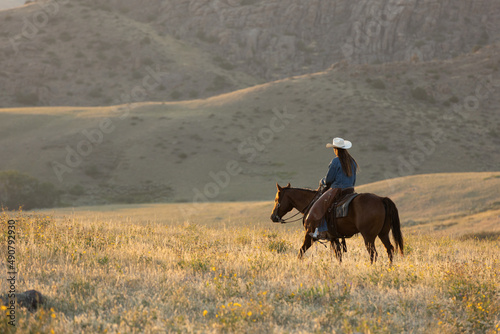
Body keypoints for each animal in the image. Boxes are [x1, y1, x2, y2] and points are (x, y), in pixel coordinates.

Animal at [270, 183, 402, 264]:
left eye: (276, 199)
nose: (273, 217)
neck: (311, 203)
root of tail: (381, 199)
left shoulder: (309, 235)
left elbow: (301, 251)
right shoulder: (333, 238)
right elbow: (338, 256)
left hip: (368, 236)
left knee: (373, 253)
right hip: (383, 234)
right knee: (390, 249)